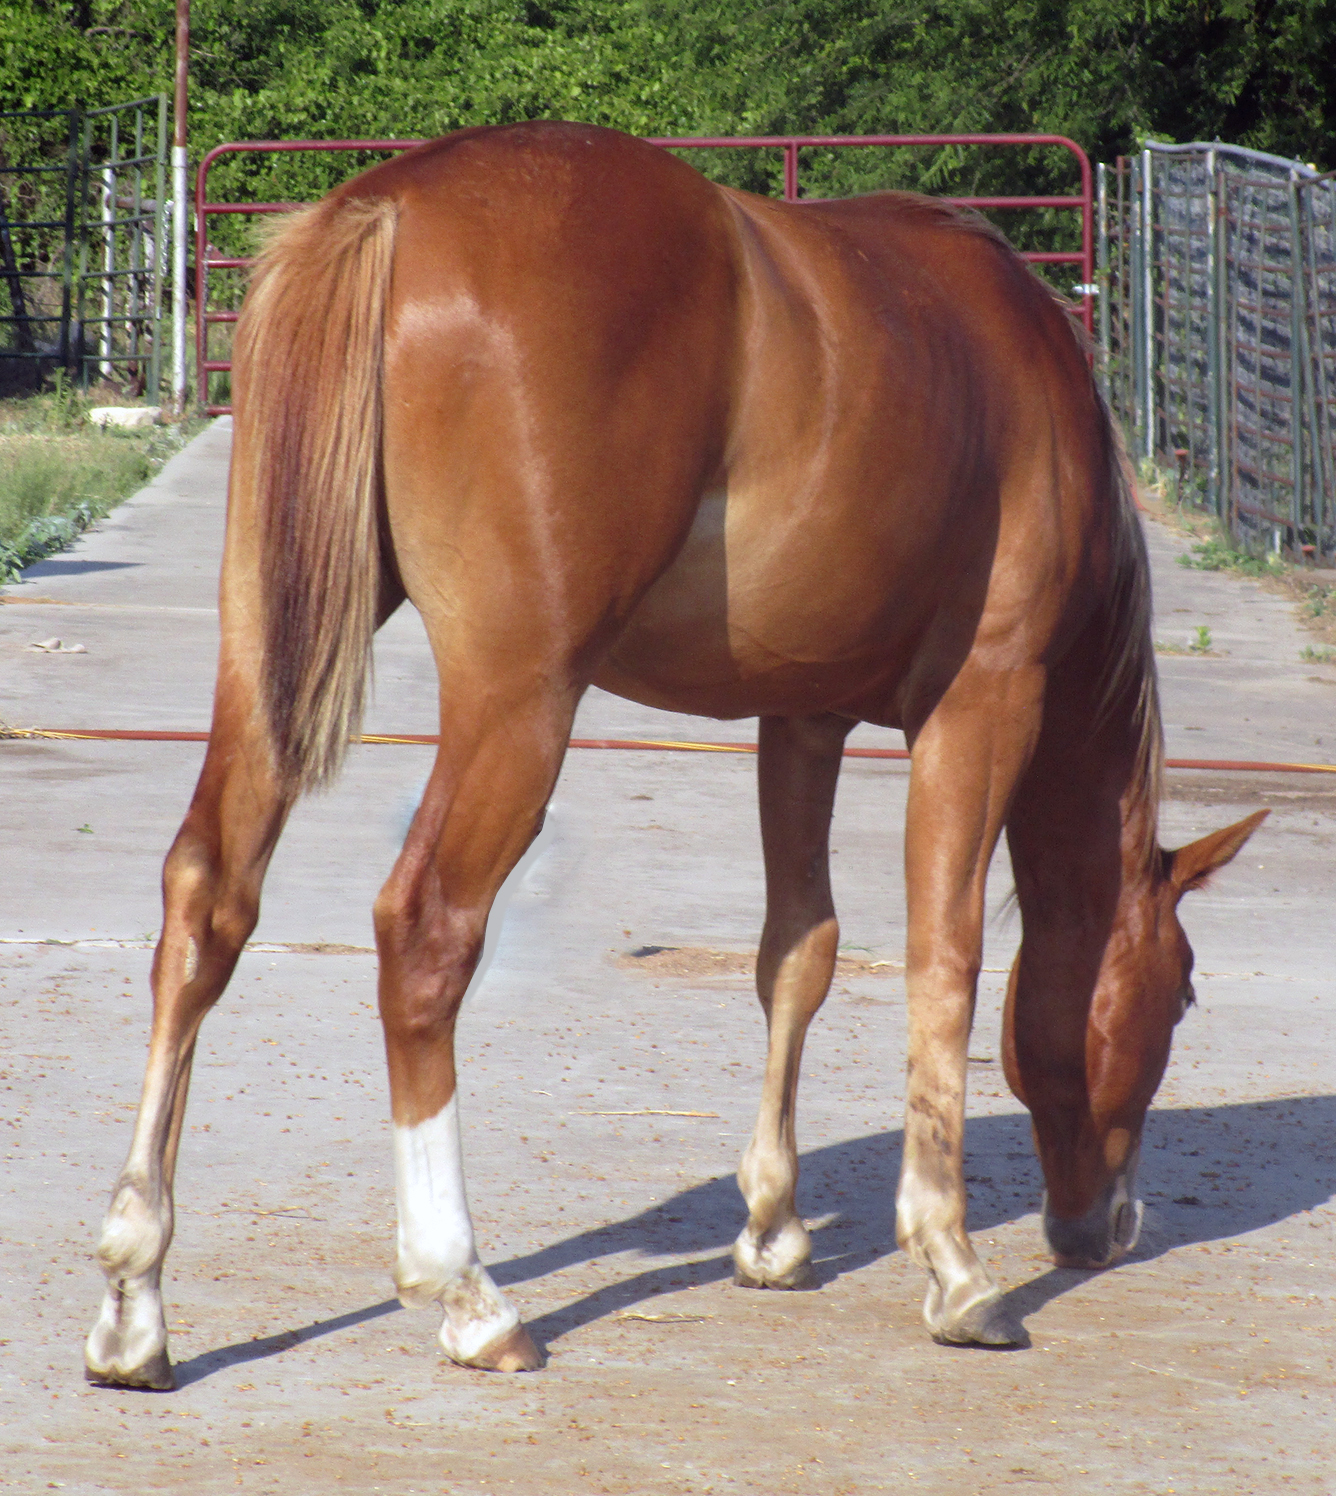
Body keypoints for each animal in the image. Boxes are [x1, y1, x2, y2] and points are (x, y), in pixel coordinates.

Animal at [84, 121, 1265, 1387]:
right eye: (1182, 989)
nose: (1108, 1227)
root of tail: (390, 203)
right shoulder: (982, 707)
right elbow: (942, 961)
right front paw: (952, 1263)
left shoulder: (802, 716)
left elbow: (799, 950)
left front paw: (773, 1229)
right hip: (518, 701)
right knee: (424, 932)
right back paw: (466, 1289)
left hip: (266, 656)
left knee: (207, 898)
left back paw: (137, 1293)